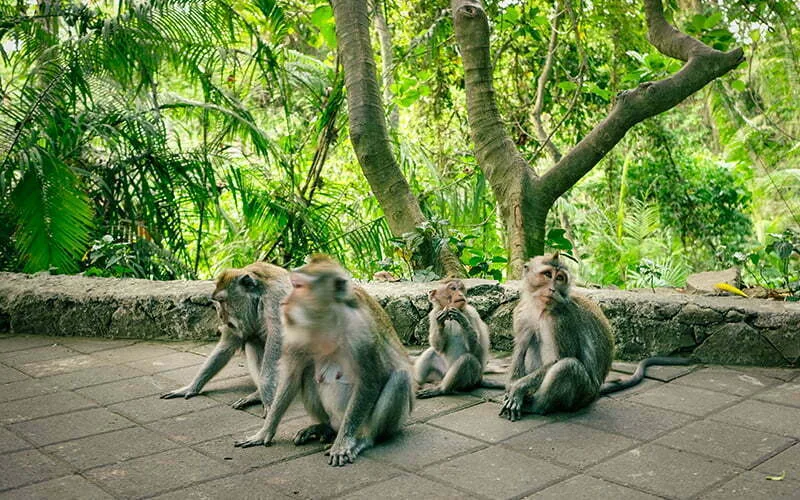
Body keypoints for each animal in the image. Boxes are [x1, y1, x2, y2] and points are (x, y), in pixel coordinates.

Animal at [161, 262, 290, 412]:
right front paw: (191, 387)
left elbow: (278, 340)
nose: (221, 316)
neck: (258, 298)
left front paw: (268, 396)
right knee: (252, 340)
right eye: (218, 302)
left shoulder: (275, 300)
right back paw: (257, 395)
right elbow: (227, 346)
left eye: (223, 301)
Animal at [234, 255, 414, 467]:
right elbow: (291, 378)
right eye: (294, 285)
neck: (326, 319)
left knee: (400, 378)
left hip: (386, 422)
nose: (285, 301)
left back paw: (363, 438)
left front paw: (343, 443)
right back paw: (323, 428)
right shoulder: (296, 332)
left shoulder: (361, 331)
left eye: (300, 287)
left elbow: (369, 380)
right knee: (308, 374)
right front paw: (264, 432)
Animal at [500, 252, 691, 420]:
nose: (553, 289)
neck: (540, 307)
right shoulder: (522, 312)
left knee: (567, 366)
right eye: (547, 274)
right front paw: (512, 388)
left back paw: (536, 407)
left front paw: (518, 389)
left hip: (583, 393)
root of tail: (596, 392)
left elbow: (559, 358)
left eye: (560, 278)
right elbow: (520, 351)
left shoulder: (561, 320)